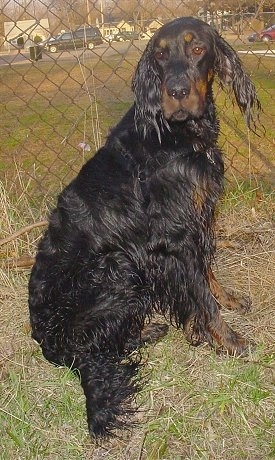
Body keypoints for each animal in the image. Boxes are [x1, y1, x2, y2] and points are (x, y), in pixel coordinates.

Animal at [28, 16, 260, 436]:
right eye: (160, 55)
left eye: (198, 48)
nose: (177, 91)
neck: (177, 133)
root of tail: (46, 340)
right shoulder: (174, 236)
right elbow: (200, 295)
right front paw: (229, 341)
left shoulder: (197, 219)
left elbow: (206, 273)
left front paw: (227, 300)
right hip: (117, 267)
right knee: (91, 347)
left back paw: (147, 330)